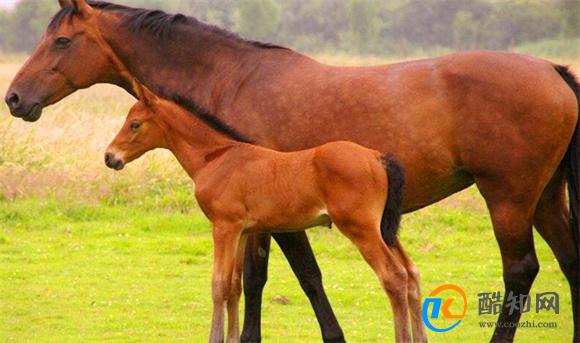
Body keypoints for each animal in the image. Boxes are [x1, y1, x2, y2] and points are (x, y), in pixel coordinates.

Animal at [104, 82, 424, 343]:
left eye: (135, 124)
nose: (110, 157)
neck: (216, 158)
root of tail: (377, 157)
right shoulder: (243, 231)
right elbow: (234, 285)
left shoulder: (223, 227)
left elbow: (219, 284)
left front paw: (215, 337)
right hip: (384, 229)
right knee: (411, 273)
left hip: (361, 229)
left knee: (393, 277)